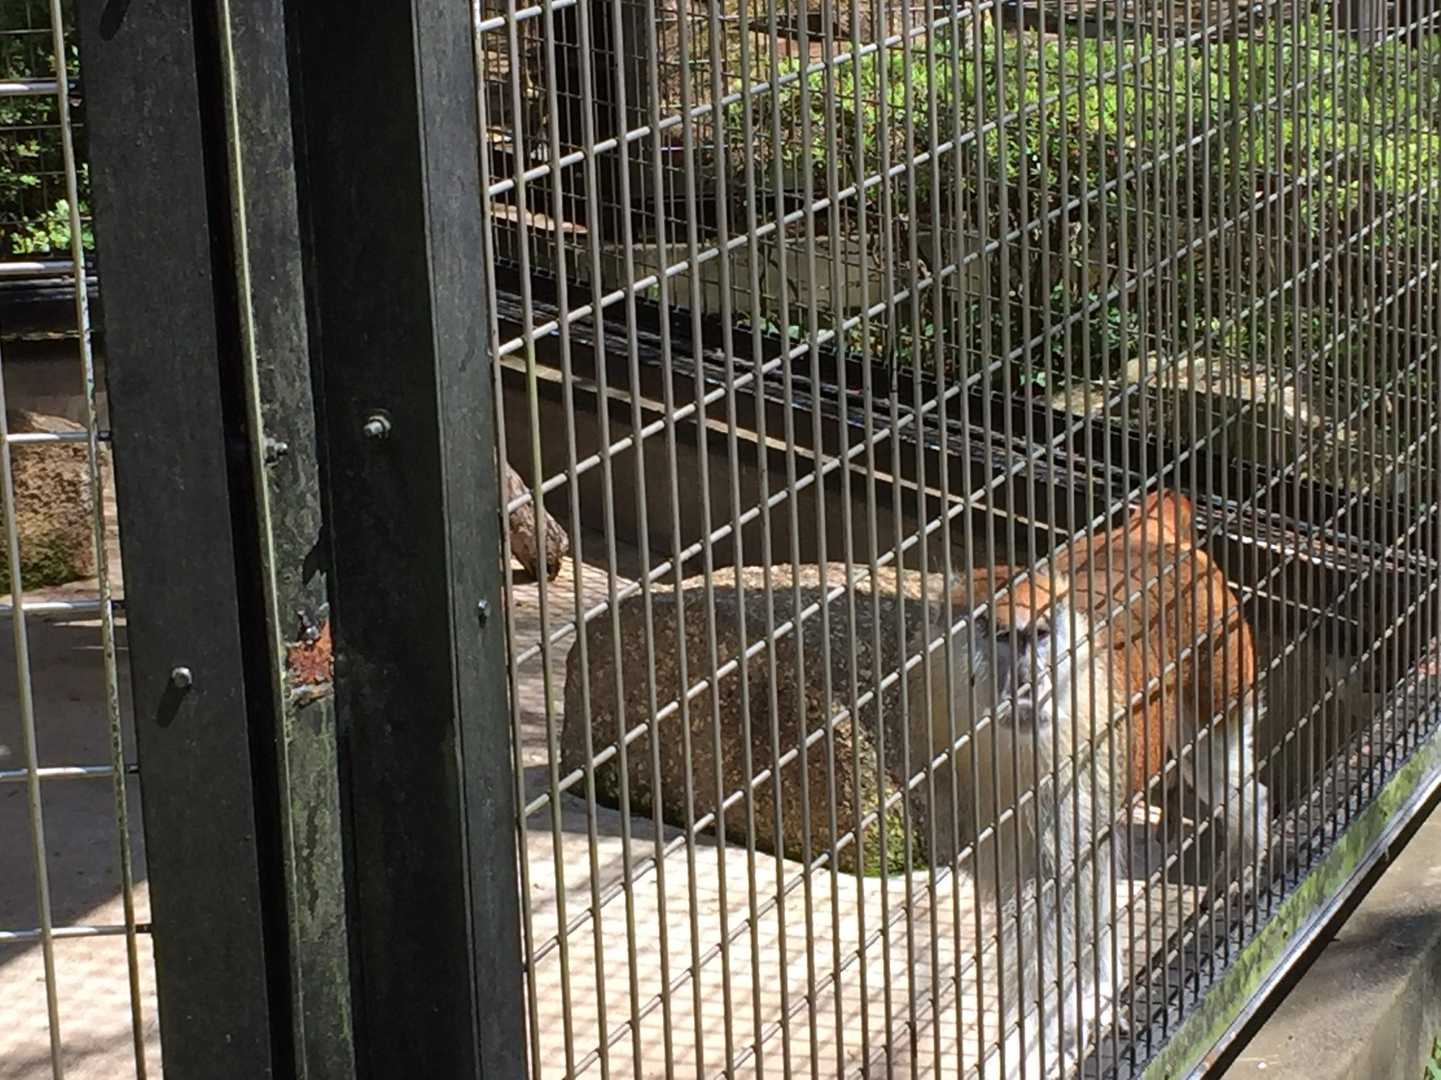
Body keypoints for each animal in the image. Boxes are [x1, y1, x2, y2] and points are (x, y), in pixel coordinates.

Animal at [907, 491, 1270, 1079]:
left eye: (1040, 636)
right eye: (1001, 636)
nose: (1030, 683)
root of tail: (1152, 533)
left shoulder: (1073, 773)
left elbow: (1055, 903)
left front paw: (1034, 1042)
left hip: (1221, 664)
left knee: (1221, 770)